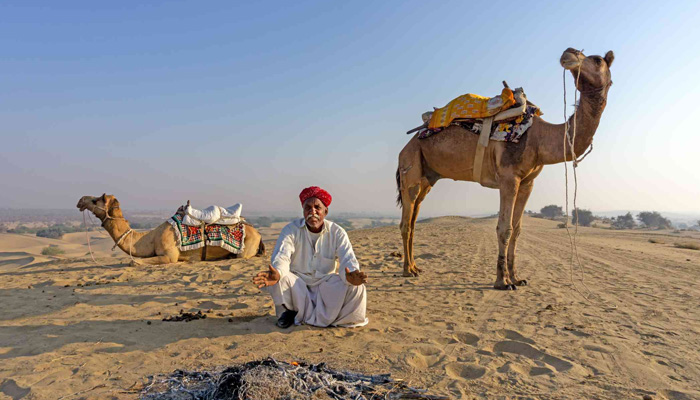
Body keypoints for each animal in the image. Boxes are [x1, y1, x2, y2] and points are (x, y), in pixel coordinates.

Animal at [77, 194, 265, 264]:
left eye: (96, 200)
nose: (81, 200)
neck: (151, 237)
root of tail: (258, 233)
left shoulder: (169, 255)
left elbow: (134, 262)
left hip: (246, 248)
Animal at [396, 48, 614, 289]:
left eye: (597, 60)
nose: (569, 53)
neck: (540, 139)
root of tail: (406, 145)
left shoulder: (527, 182)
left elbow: (517, 230)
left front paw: (517, 277)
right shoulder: (509, 178)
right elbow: (504, 228)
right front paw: (502, 281)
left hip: (428, 177)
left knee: (414, 218)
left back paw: (415, 267)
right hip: (410, 166)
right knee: (406, 221)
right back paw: (407, 271)